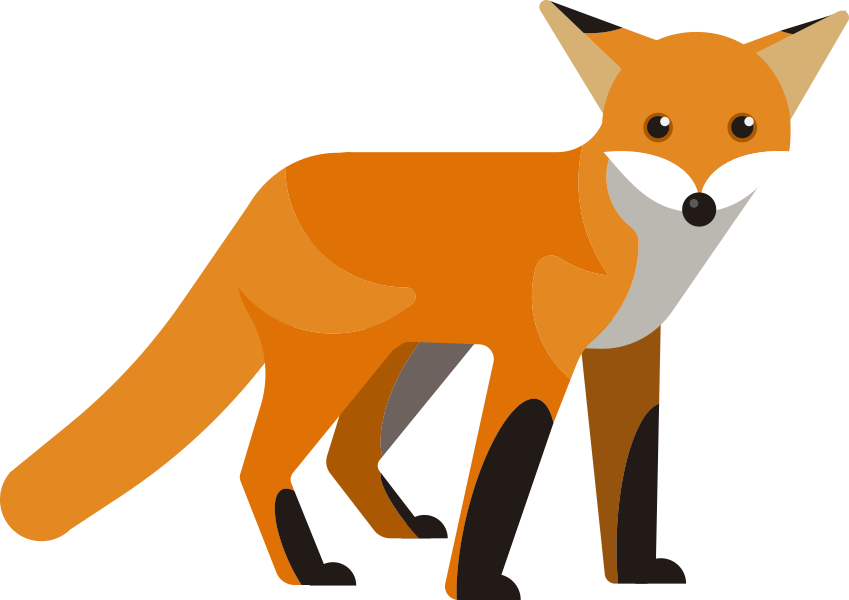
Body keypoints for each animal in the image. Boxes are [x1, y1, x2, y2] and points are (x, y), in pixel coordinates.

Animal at [1, 1, 846, 594]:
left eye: (743, 126)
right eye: (657, 126)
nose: (698, 206)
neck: (640, 248)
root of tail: (266, 189)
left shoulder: (627, 358)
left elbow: (632, 476)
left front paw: (633, 575)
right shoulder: (535, 359)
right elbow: (502, 472)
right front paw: (474, 588)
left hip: (412, 361)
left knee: (345, 454)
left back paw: (396, 533)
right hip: (339, 364)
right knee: (259, 466)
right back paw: (309, 573)